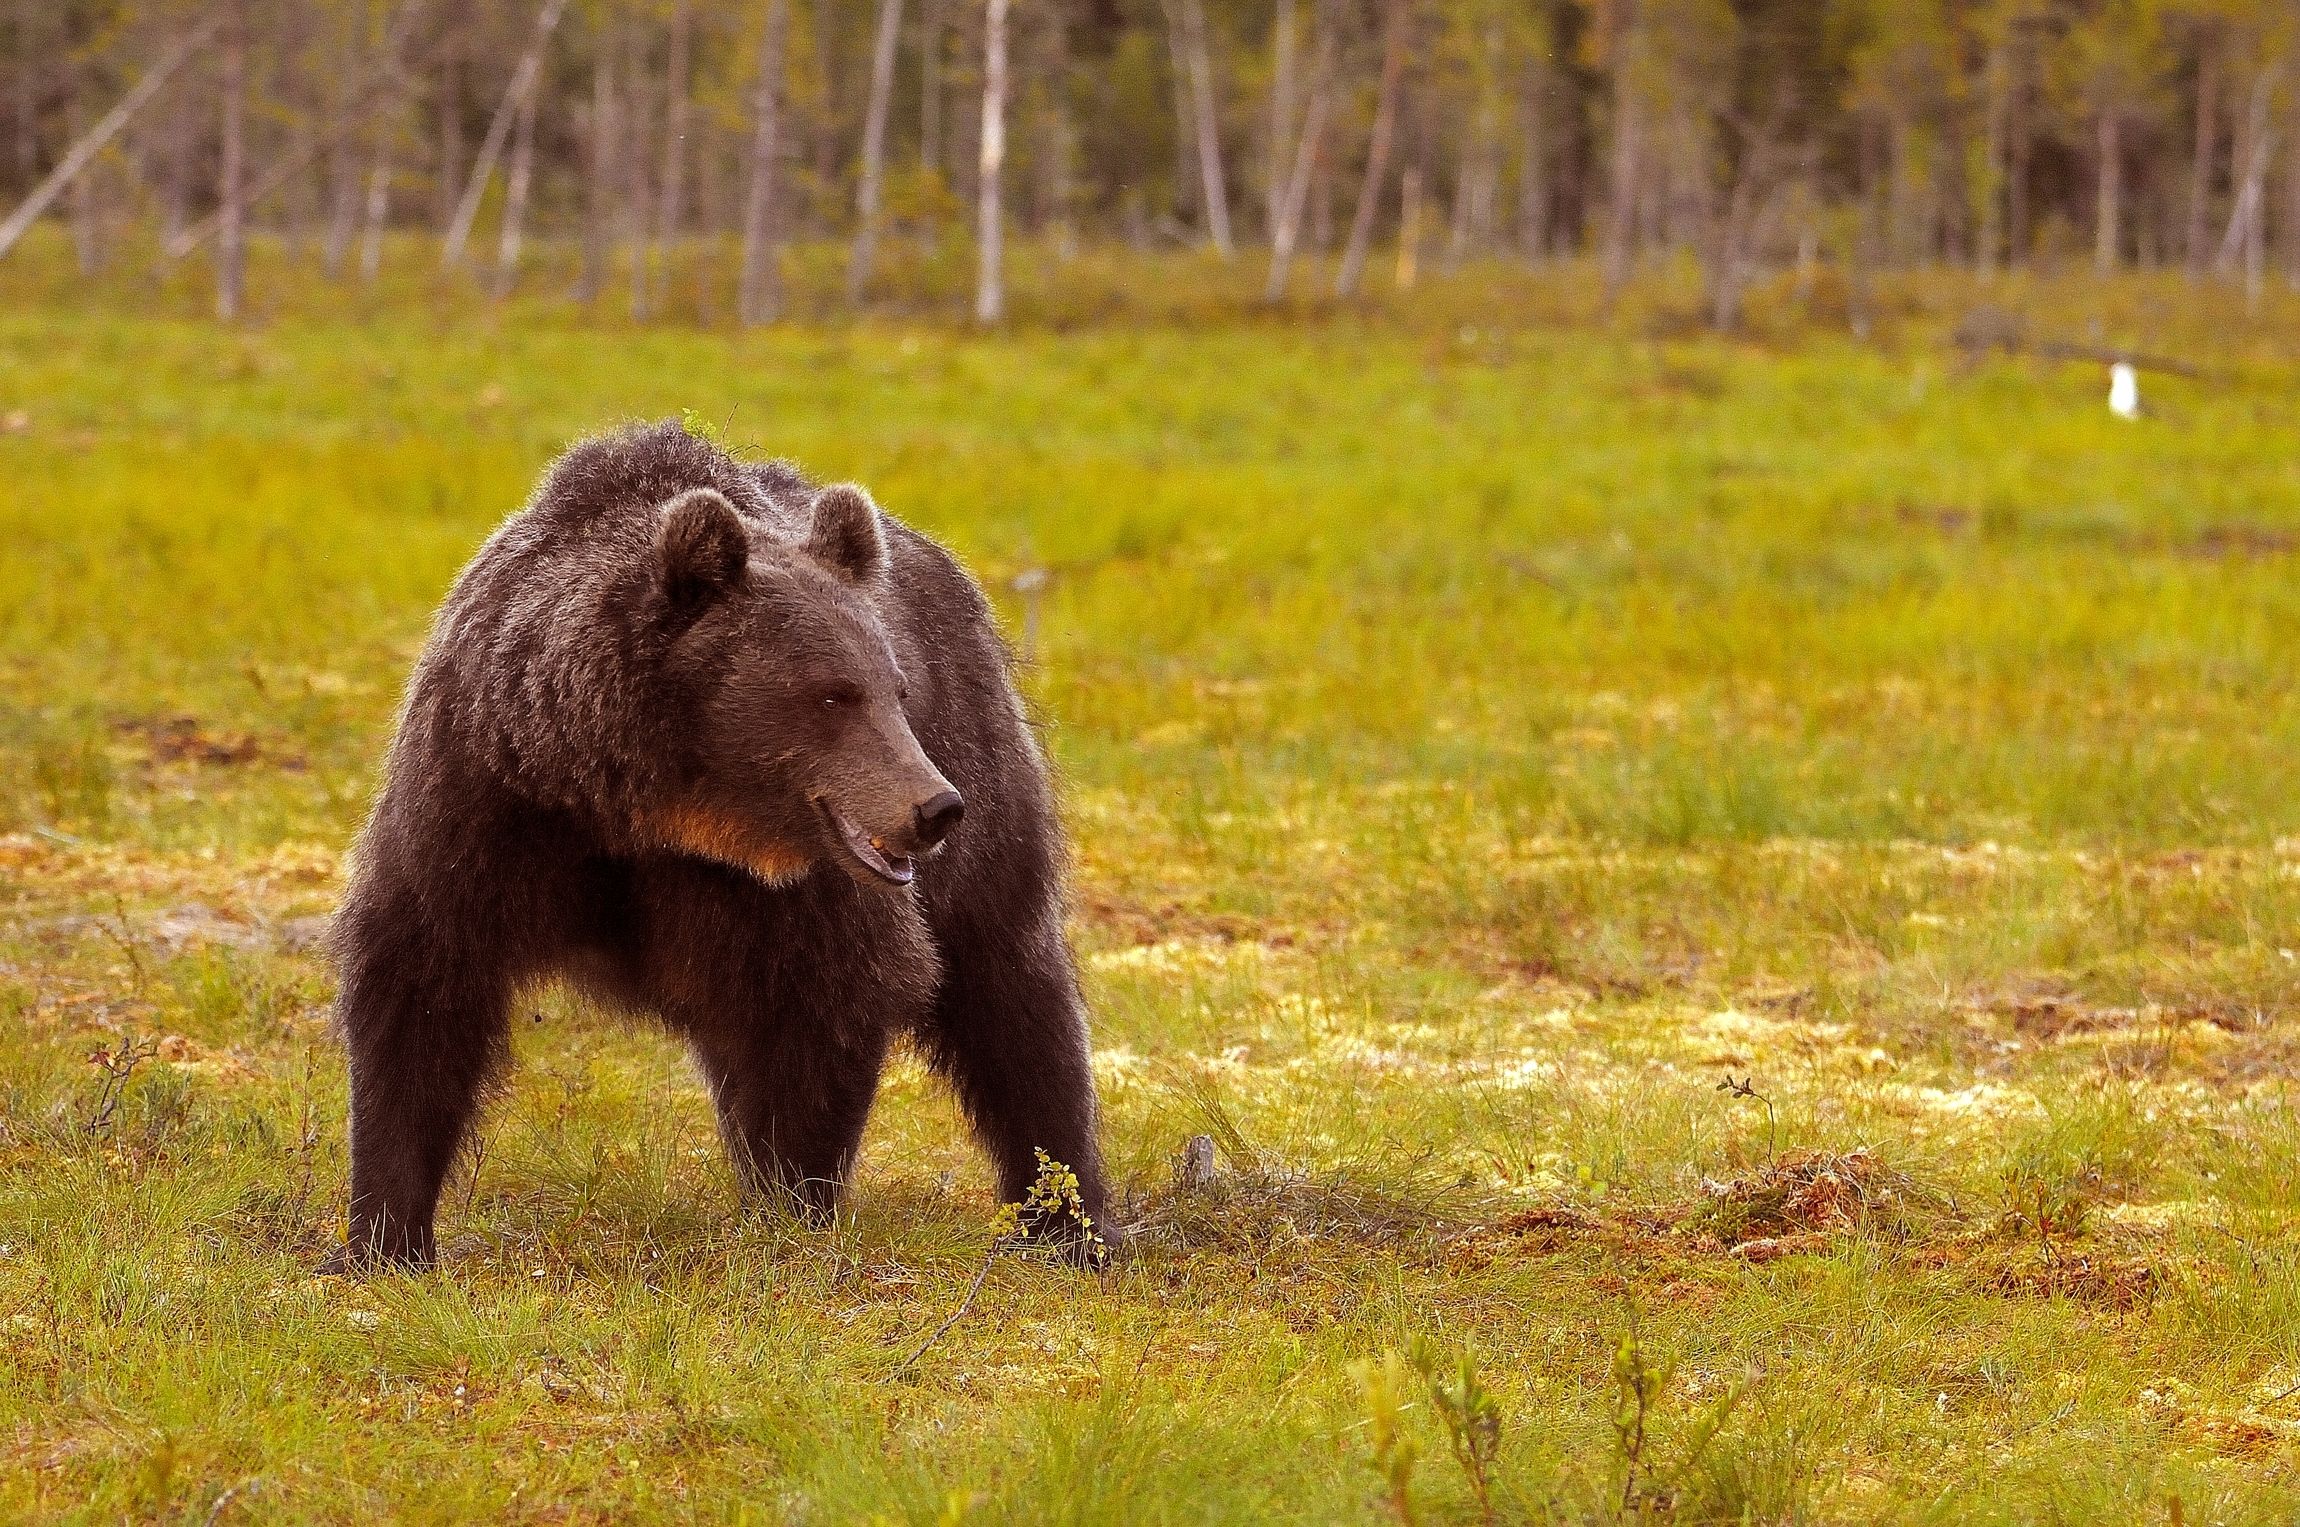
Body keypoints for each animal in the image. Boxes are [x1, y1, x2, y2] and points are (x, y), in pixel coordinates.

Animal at [326, 420, 1110, 1269]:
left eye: (895, 689)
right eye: (833, 693)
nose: (934, 806)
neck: (643, 804)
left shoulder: (790, 895)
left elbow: (821, 1010)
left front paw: (787, 1204)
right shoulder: (484, 802)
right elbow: (422, 987)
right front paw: (385, 1236)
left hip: (982, 770)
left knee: (1013, 990)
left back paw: (1069, 1220)